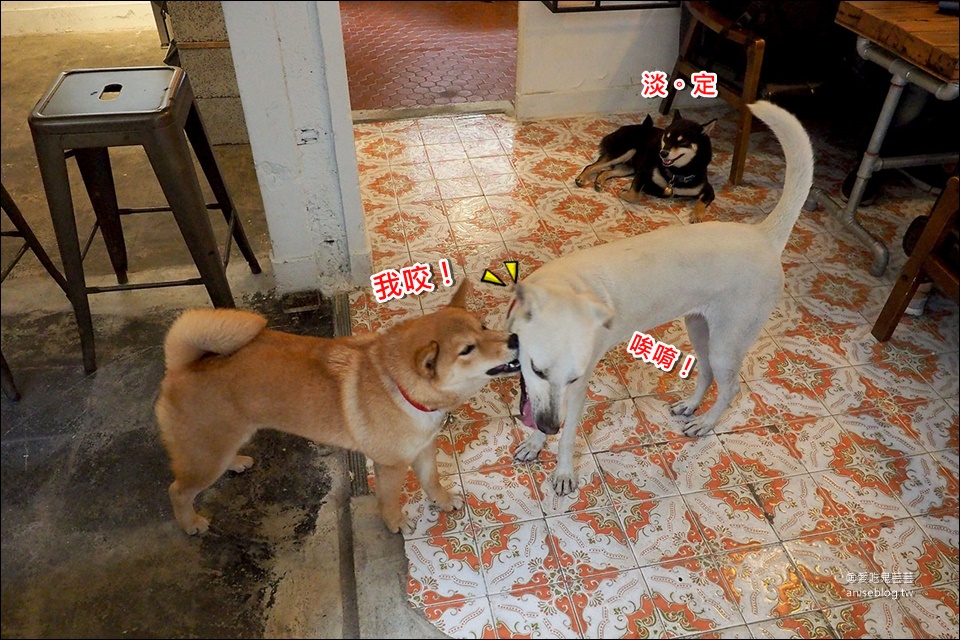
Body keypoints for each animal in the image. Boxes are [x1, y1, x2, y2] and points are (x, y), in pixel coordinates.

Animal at [506, 104, 812, 496]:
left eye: (573, 378)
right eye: (539, 370)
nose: (549, 426)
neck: (564, 291)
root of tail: (763, 235)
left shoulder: (575, 393)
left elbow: (569, 436)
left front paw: (562, 472)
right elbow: (532, 405)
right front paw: (534, 442)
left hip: (728, 341)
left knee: (730, 387)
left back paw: (705, 423)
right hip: (700, 328)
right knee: (707, 373)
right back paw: (691, 407)